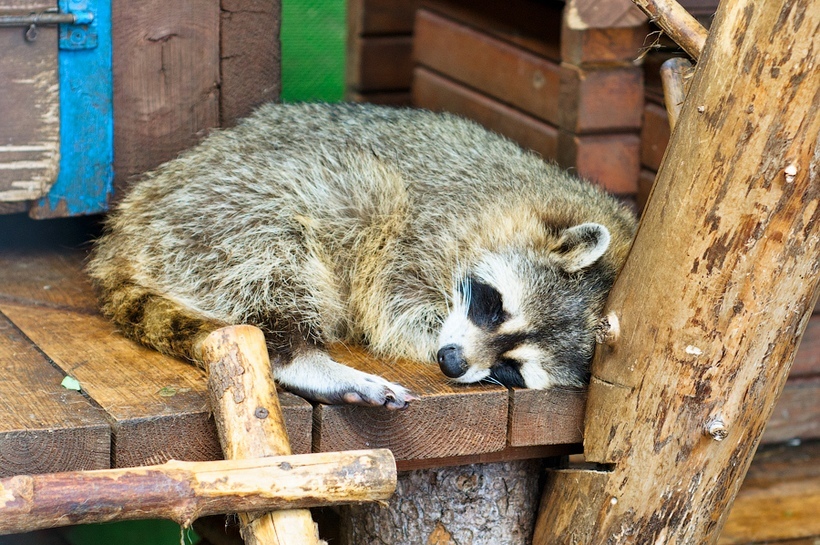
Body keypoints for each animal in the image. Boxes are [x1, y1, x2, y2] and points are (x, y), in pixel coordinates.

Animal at [86, 102, 636, 408]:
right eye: (493, 305)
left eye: (513, 370)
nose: (452, 361)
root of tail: (124, 232)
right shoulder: (425, 223)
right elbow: (393, 305)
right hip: (217, 212)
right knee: (283, 246)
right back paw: (302, 356)